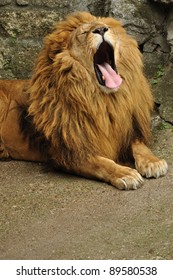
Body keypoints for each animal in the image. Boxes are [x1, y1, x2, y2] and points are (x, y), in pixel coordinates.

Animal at [0, 11, 168, 190]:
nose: (101, 29)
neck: (104, 101)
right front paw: (124, 173)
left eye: (107, 27)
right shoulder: (69, 151)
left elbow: (140, 146)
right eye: (83, 33)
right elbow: (101, 163)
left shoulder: (129, 130)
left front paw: (153, 162)